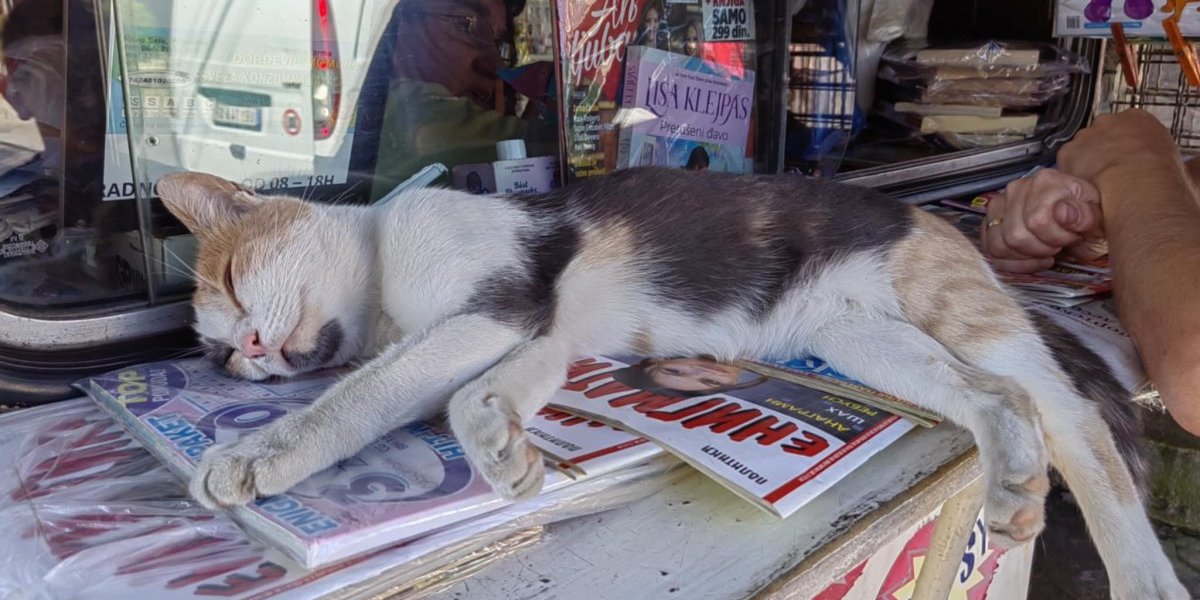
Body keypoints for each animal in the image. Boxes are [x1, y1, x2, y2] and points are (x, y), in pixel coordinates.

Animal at [159, 169, 1190, 600]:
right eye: (223, 360)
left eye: (235, 280)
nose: (255, 352)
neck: (382, 295)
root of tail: (934, 218)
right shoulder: (534, 330)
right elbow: (469, 392)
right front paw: (504, 449)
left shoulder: (503, 300)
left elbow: (363, 393)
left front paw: (253, 453)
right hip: (861, 340)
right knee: (1000, 400)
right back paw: (1013, 485)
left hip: (959, 312)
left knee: (1072, 418)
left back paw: (1140, 574)